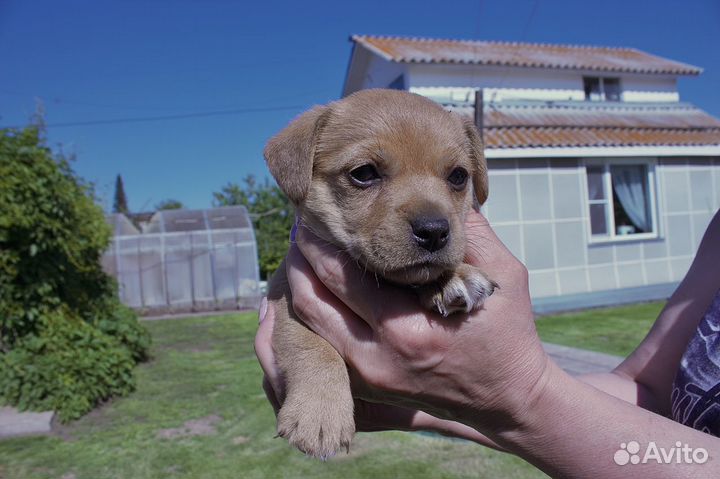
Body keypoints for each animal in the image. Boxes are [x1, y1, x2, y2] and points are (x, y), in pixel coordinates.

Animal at [264, 88, 496, 460]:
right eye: (364, 173)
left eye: (459, 177)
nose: (434, 231)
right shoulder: (286, 297)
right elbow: (312, 346)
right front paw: (320, 414)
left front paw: (453, 276)